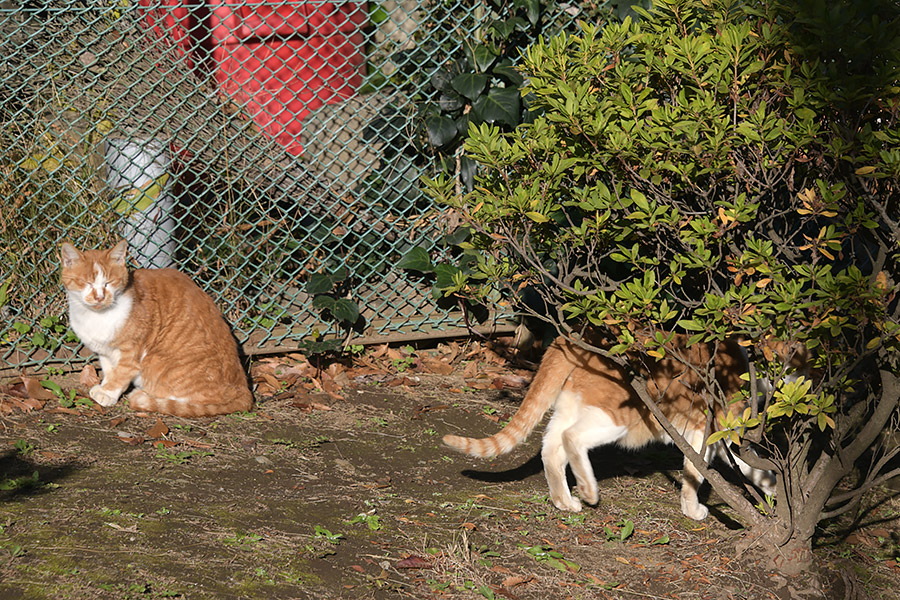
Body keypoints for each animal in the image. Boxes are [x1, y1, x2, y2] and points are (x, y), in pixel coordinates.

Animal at [60, 239, 251, 418]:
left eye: (109, 283)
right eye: (85, 283)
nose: (99, 297)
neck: (95, 316)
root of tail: (244, 390)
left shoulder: (131, 352)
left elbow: (121, 374)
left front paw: (107, 393)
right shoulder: (105, 351)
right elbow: (109, 371)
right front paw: (104, 386)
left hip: (156, 362)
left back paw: (145, 395)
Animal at [446, 336, 792, 516]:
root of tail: (570, 338)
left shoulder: (723, 441)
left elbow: (756, 470)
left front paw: (775, 490)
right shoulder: (702, 434)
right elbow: (695, 475)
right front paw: (692, 509)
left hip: (571, 407)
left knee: (550, 449)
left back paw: (565, 501)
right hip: (615, 418)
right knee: (572, 439)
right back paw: (588, 491)